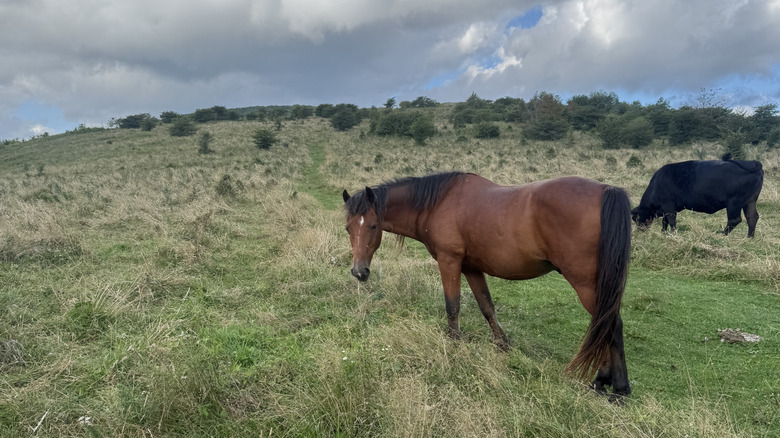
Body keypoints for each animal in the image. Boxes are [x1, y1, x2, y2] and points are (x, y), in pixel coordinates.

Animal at [342, 171, 632, 400]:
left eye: (373, 225)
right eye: (348, 228)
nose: (359, 272)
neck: (438, 203)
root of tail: (606, 190)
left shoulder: (450, 261)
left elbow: (453, 306)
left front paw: (454, 346)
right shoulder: (472, 268)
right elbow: (487, 307)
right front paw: (503, 346)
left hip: (586, 284)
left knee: (610, 323)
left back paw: (617, 388)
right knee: (605, 324)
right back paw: (603, 382)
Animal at [631, 154, 763, 237]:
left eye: (636, 218)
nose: (639, 231)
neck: (656, 185)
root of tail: (752, 162)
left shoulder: (668, 205)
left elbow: (671, 221)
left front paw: (673, 234)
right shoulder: (665, 208)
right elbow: (665, 221)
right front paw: (663, 233)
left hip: (734, 203)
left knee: (734, 220)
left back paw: (722, 235)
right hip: (750, 202)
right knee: (752, 218)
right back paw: (749, 237)